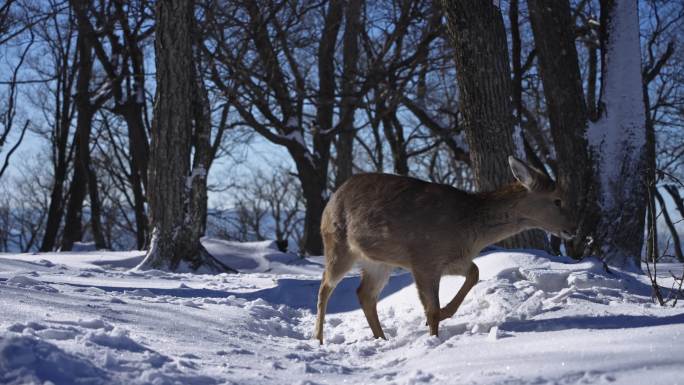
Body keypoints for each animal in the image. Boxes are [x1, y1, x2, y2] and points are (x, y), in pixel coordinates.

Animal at [316, 155, 576, 342]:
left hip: (379, 262)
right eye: (557, 200)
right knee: (326, 285)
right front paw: (433, 339)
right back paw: (319, 338)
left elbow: (474, 273)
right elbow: (431, 308)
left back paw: (381, 338)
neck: (469, 227)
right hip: (338, 245)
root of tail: (330, 200)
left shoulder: (453, 260)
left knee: (365, 294)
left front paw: (445, 314)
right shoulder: (424, 258)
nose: (573, 229)